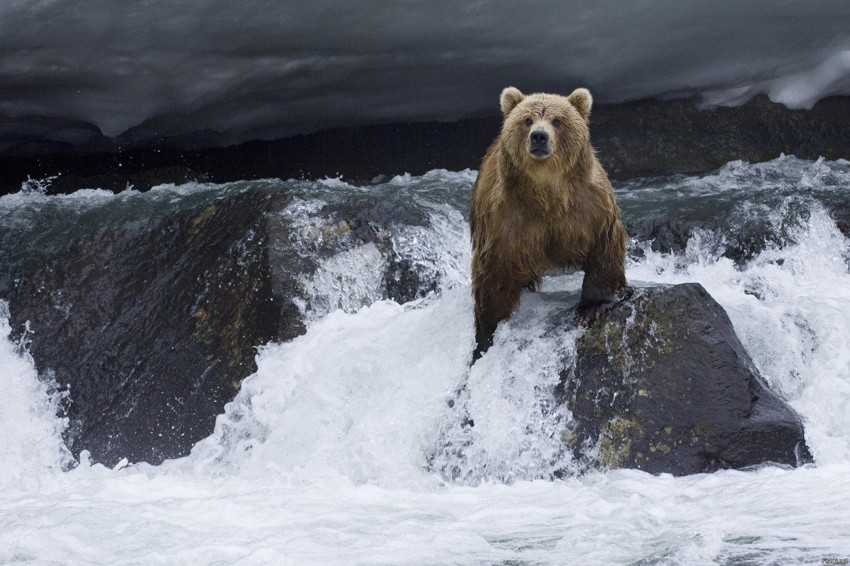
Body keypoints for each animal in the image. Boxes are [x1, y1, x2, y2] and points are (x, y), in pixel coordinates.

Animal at [468, 86, 628, 362]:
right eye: (527, 119)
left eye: (557, 120)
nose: (539, 137)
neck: (547, 194)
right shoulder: (504, 220)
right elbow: (493, 274)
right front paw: (486, 334)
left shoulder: (590, 207)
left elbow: (603, 248)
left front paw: (591, 309)